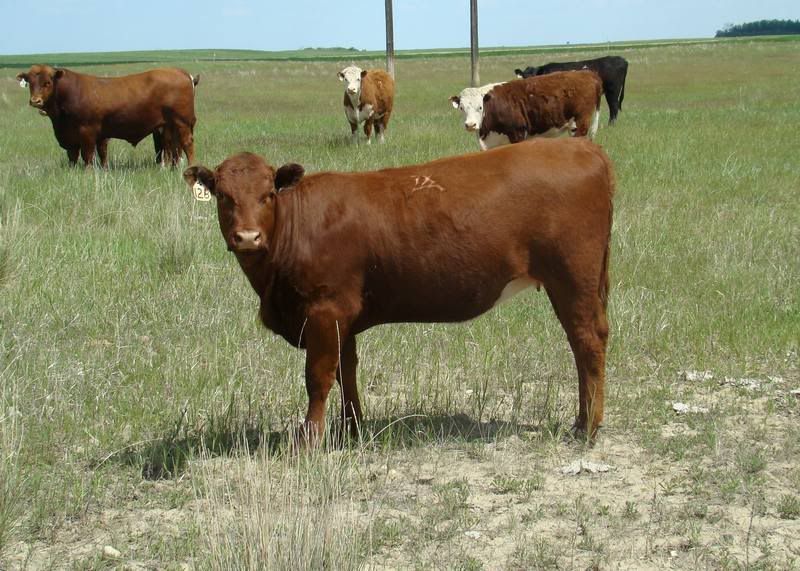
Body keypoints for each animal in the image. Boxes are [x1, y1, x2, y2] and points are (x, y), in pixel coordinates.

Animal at [16, 65, 199, 167]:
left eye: (47, 82)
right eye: (30, 83)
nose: (35, 101)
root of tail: (179, 72)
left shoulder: (87, 132)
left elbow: (88, 155)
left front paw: (88, 172)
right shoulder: (78, 137)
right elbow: (80, 156)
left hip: (181, 122)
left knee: (186, 144)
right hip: (170, 125)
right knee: (174, 147)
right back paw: (173, 169)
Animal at [182, 137, 615, 447]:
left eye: (268, 194)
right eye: (224, 196)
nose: (247, 237)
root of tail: (582, 146)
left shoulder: (324, 310)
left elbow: (318, 377)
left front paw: (309, 441)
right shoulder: (343, 318)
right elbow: (346, 372)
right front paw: (351, 429)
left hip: (573, 278)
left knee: (587, 342)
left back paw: (587, 428)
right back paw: (582, 420)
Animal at [451, 71, 602, 150]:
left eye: (480, 107)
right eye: (461, 108)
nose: (470, 125)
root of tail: (587, 74)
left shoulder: (517, 134)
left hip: (579, 125)